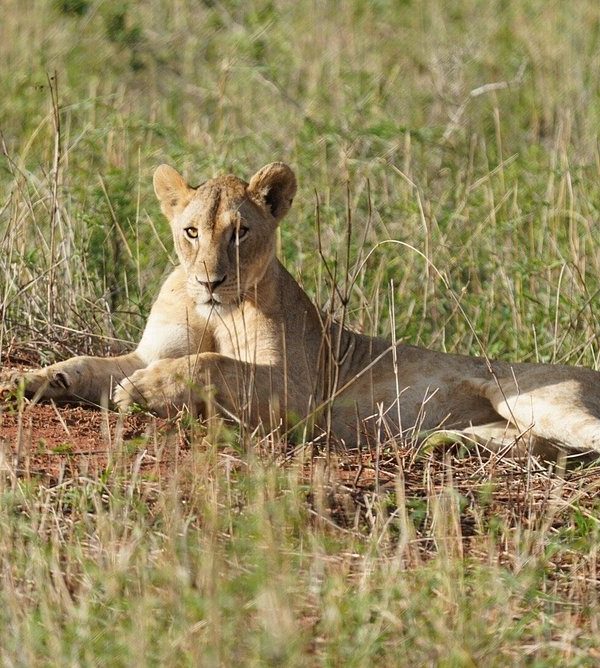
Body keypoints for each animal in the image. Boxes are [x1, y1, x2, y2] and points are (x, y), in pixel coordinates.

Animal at [2, 162, 600, 457]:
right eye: (191, 231)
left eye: (240, 232)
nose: (210, 280)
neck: (214, 312)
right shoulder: (148, 350)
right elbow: (86, 365)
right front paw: (28, 380)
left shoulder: (300, 393)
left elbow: (213, 363)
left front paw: (144, 392)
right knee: (536, 446)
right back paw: (442, 443)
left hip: (528, 395)